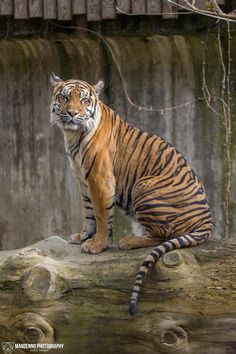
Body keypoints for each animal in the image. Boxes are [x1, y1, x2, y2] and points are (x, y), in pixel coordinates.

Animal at [50, 72, 214, 316]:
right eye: (64, 97)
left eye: (84, 100)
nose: (72, 113)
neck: (73, 135)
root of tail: (208, 220)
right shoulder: (83, 182)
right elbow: (88, 212)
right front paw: (83, 236)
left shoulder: (100, 180)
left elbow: (101, 215)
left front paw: (96, 245)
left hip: (143, 187)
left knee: (163, 236)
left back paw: (128, 241)